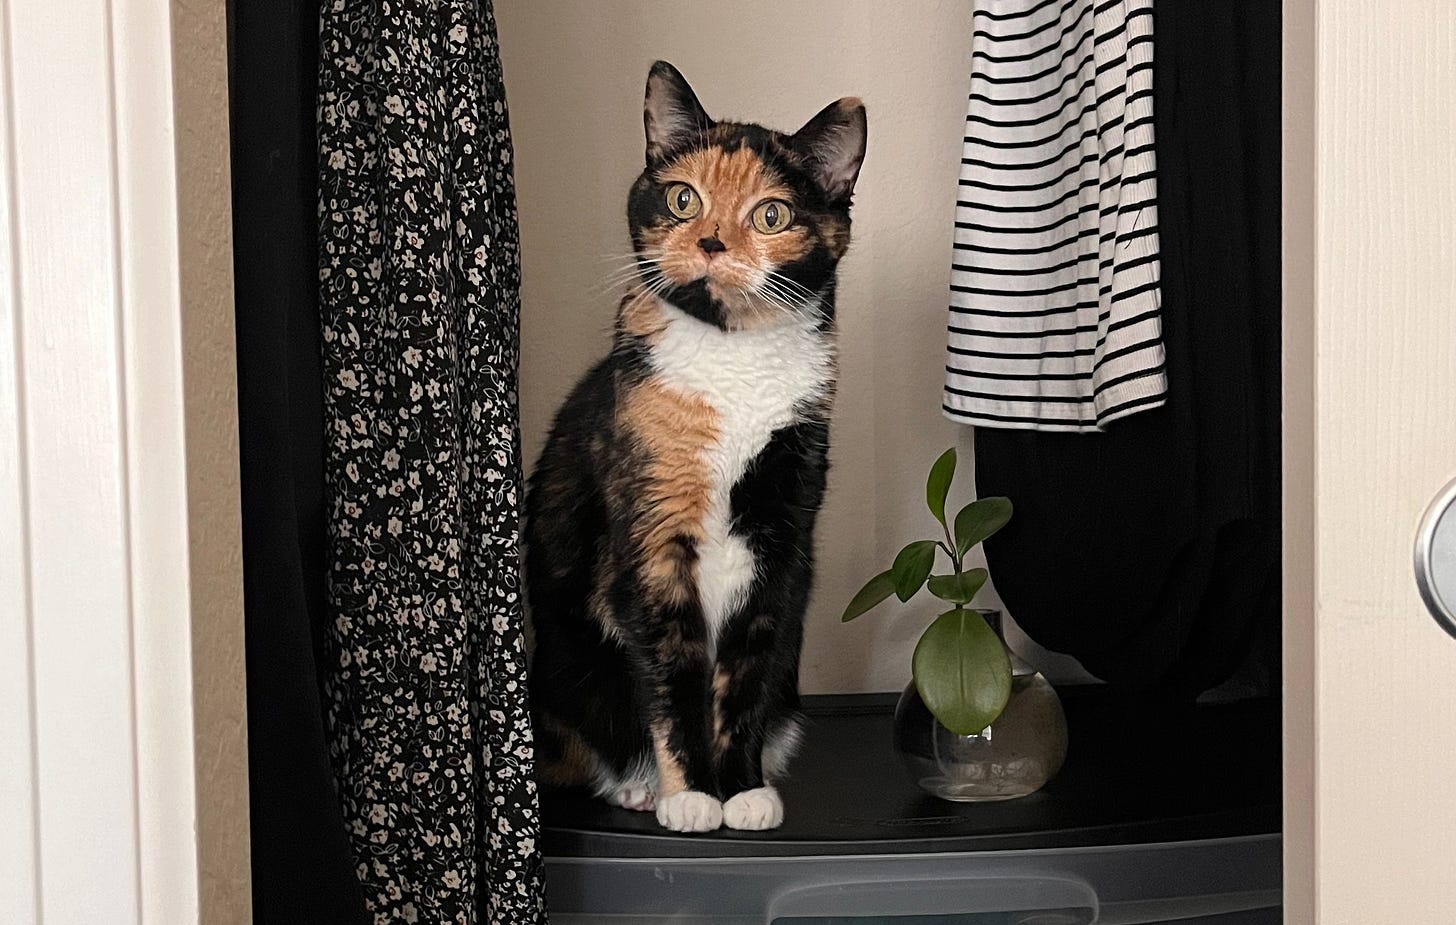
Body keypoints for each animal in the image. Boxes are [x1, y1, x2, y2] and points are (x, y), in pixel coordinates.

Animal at [527, 61, 856, 833]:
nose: (709, 242)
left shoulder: (782, 533)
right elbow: (670, 673)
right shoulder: (652, 534)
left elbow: (746, 674)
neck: (731, 356)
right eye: (683, 199)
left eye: (771, 215)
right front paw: (689, 795)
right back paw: (639, 786)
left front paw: (742, 791)